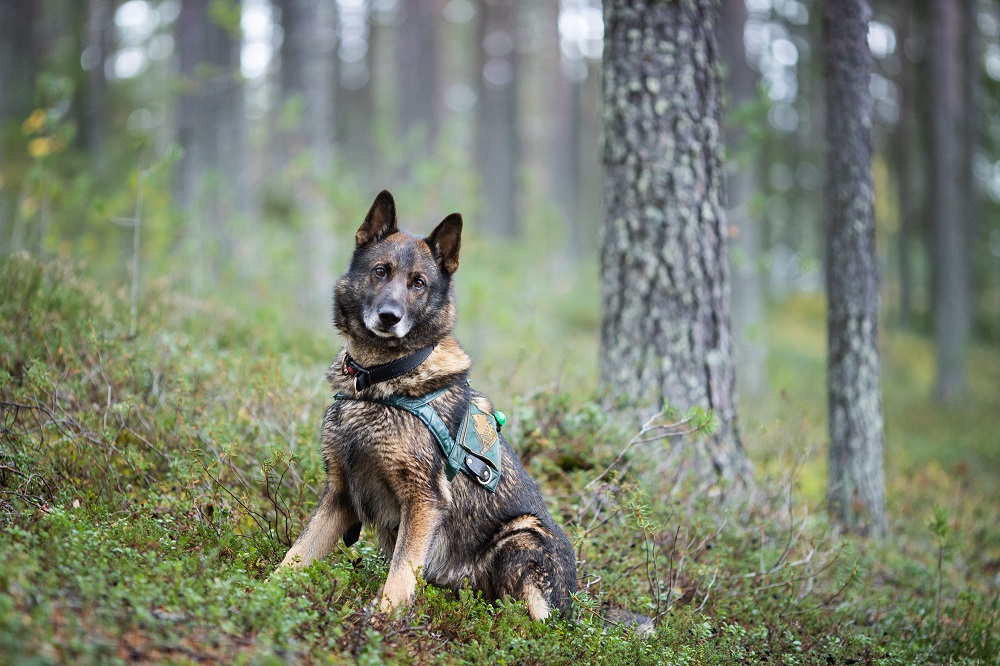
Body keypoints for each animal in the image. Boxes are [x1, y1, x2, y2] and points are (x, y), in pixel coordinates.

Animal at [280, 187, 580, 616]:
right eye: (380, 271)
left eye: (418, 283)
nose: (389, 317)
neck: (379, 380)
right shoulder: (339, 497)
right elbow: (295, 556)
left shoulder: (423, 501)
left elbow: (399, 576)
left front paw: (382, 620)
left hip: (522, 537)